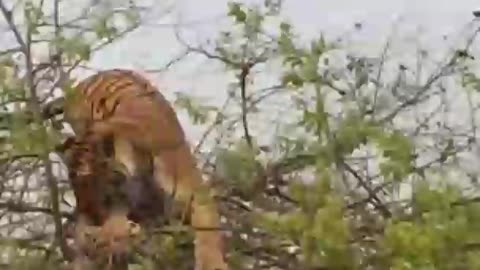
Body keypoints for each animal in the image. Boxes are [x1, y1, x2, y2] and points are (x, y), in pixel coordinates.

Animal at [62, 69, 229, 270]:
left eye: (103, 194)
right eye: (83, 194)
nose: (89, 212)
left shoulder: (195, 194)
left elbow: (208, 234)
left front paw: (212, 263)